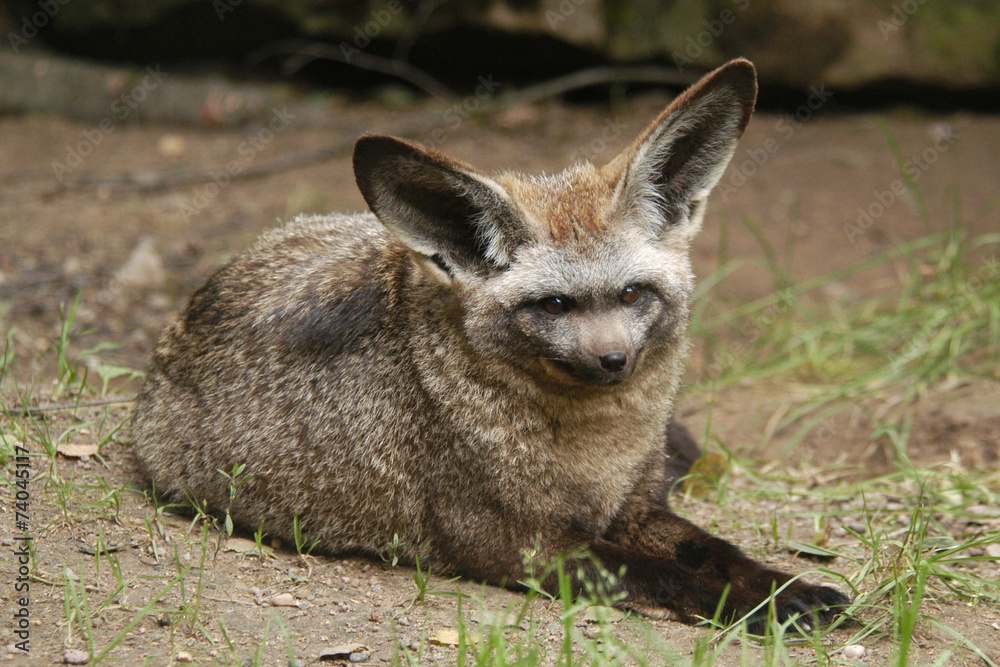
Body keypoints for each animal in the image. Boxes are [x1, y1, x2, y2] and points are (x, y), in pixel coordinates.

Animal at [132, 58, 849, 632]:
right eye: (554, 305)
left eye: (631, 294)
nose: (614, 361)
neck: (596, 450)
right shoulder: (521, 544)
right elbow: (665, 575)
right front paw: (760, 609)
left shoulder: (636, 509)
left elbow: (718, 551)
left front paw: (787, 586)